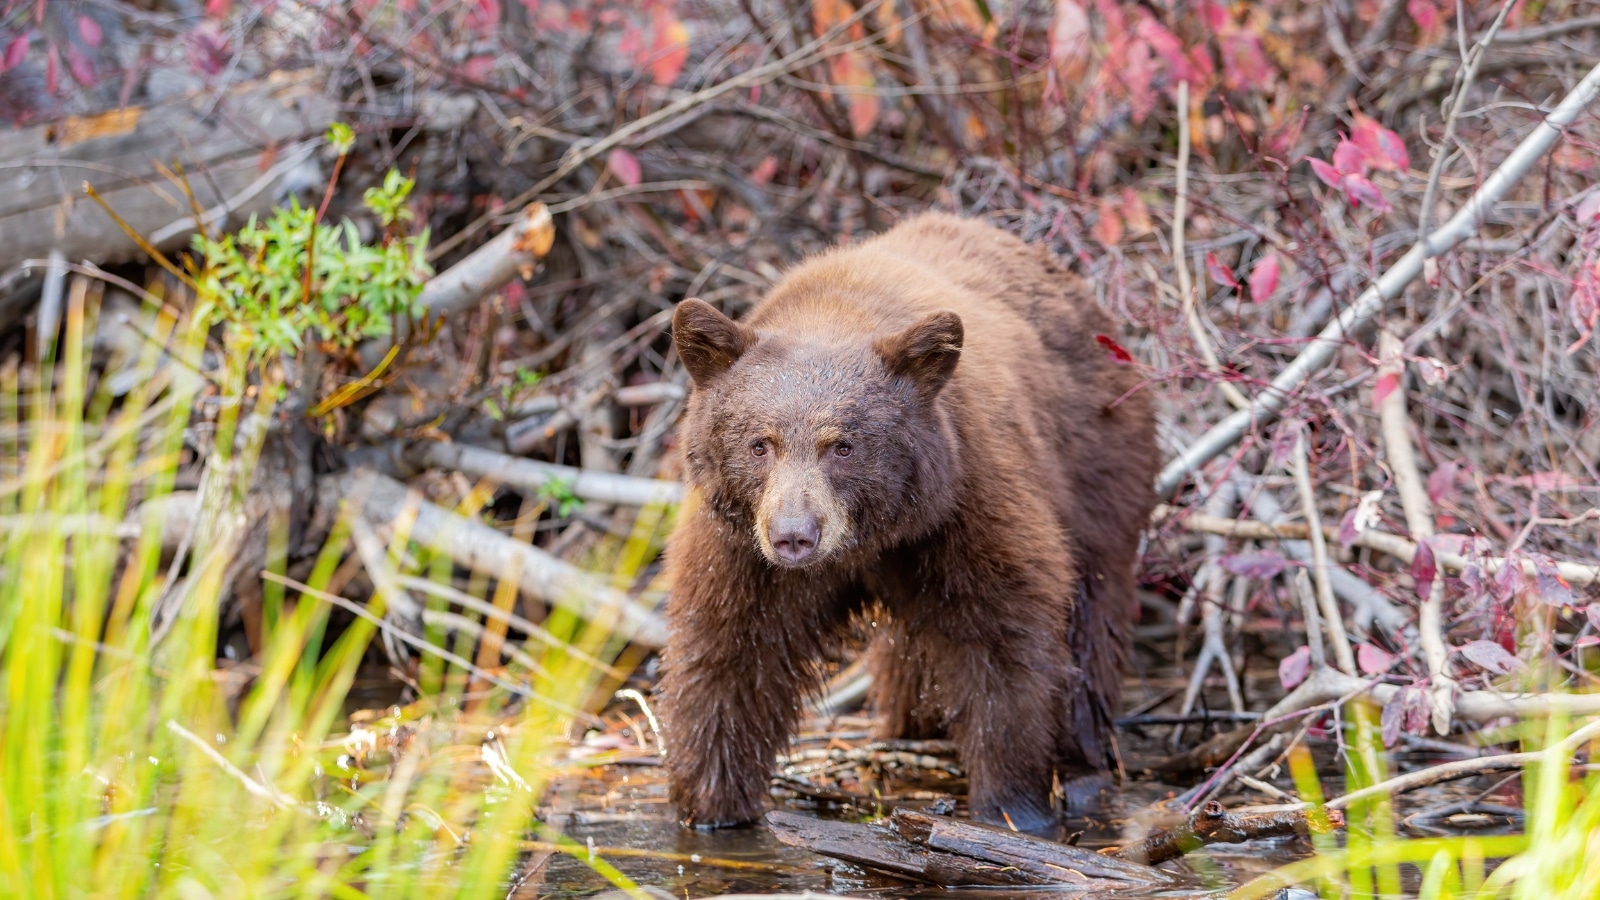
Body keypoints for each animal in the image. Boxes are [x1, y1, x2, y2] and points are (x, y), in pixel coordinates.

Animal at [656, 212, 1158, 830]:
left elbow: (1003, 636)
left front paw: (1012, 804)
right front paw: (712, 805)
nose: (794, 536)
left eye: (842, 446)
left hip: (1100, 465)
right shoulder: (742, 546)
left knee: (1092, 611)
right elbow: (732, 652)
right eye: (759, 444)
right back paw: (911, 726)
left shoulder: (962, 500)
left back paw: (1084, 755)